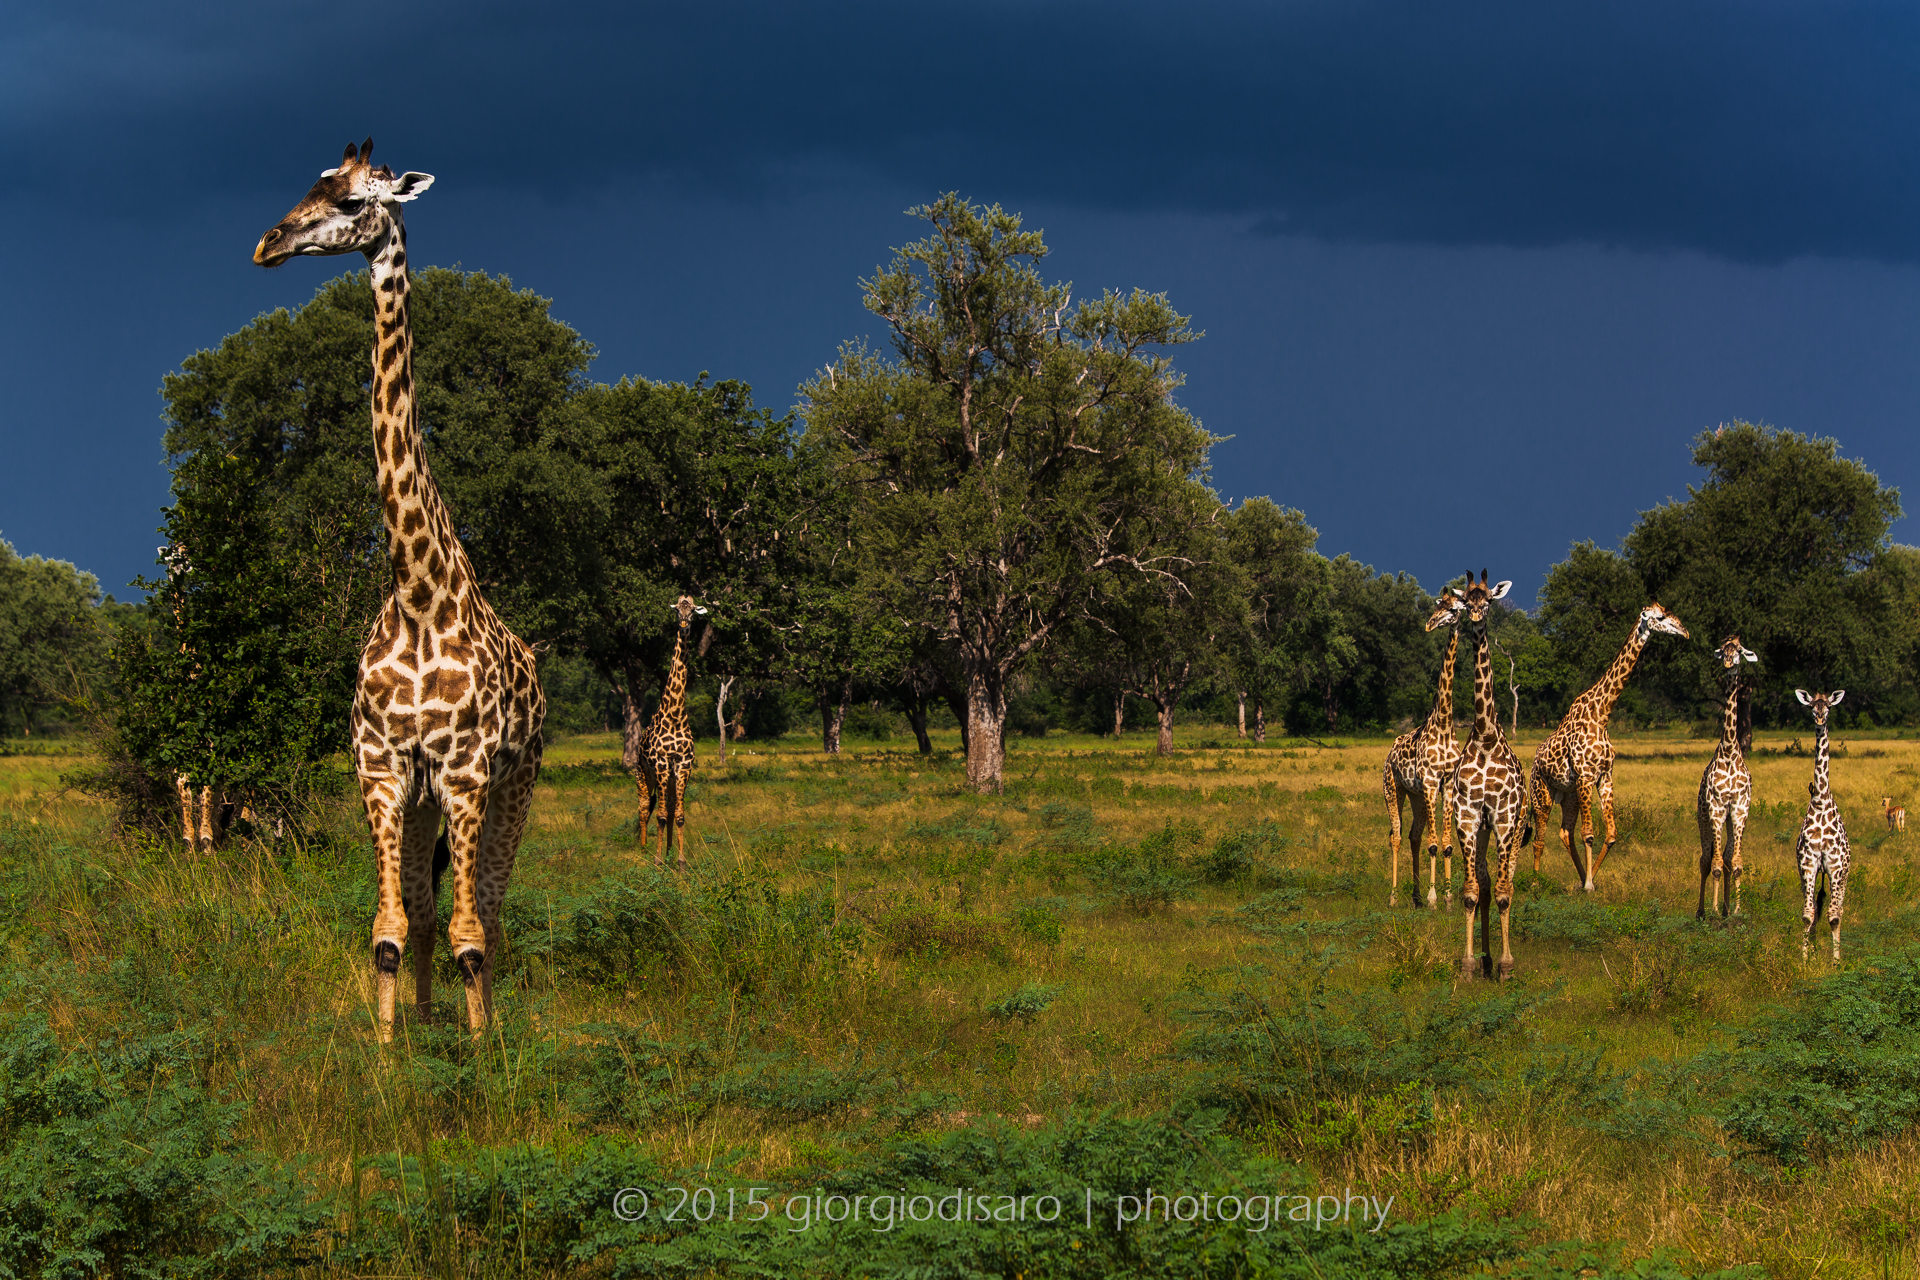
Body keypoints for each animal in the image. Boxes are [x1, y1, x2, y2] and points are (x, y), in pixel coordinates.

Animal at [255, 140, 546, 1039]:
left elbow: (470, 932)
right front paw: (388, 1052)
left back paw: (479, 1026)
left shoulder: (466, 772)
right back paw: (423, 1015)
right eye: (312, 183)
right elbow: (389, 926)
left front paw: (486, 1055)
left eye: (355, 202)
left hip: (516, 781)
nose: (269, 244)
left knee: (493, 910)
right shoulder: (383, 768)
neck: (417, 593)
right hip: (422, 801)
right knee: (422, 910)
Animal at [637, 596, 706, 870]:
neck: (675, 713)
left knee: (665, 806)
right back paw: (644, 849)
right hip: (643, 772)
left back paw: (666, 851)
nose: (685, 624)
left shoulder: (683, 764)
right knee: (644, 807)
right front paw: (657, 860)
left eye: (694, 610)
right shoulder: (661, 762)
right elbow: (660, 815)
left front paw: (680, 861)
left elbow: (678, 814)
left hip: (667, 777)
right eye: (677, 610)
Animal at [1382, 588, 1468, 908]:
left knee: (1413, 836)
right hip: (1393, 788)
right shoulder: (1431, 783)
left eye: (1455, 609)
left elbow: (1446, 844)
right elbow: (1434, 844)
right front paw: (1434, 898)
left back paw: (1416, 897)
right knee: (1395, 836)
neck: (1443, 724)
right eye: (1439, 605)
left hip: (1416, 795)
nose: (1430, 624)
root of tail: (1388, 754)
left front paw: (1448, 898)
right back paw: (1394, 897)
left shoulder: (1447, 784)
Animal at [1528, 602, 1688, 891]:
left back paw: (1580, 876)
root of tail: (1534, 760)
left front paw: (1589, 881)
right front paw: (1589, 885)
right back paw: (1535, 882)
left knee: (1565, 833)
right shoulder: (1585, 775)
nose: (1685, 632)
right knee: (1539, 838)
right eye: (1660, 617)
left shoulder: (1605, 776)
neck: (1602, 714)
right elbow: (1589, 834)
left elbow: (1611, 834)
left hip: (1568, 794)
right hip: (1541, 793)